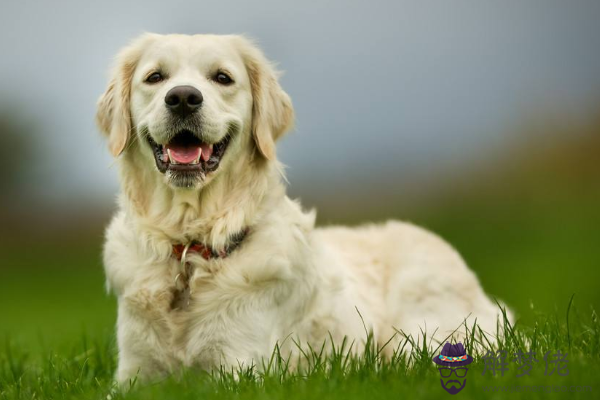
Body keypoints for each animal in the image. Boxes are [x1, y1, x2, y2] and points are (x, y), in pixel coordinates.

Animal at [97, 32, 506, 382]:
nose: (182, 97)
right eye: (155, 77)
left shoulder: (239, 368)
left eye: (222, 77)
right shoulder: (133, 375)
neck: (190, 250)